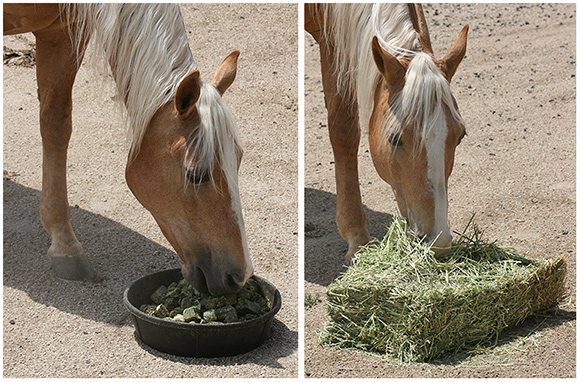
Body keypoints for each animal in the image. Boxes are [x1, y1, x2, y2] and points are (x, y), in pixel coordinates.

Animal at [3, 3, 254, 296]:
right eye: (195, 175)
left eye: (238, 160)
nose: (239, 277)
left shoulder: (61, 31)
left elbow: (56, 123)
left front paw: (63, 243)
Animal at [306, 3, 468, 262]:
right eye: (394, 139)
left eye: (460, 136)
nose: (438, 241)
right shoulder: (332, 41)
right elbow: (343, 130)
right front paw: (357, 238)